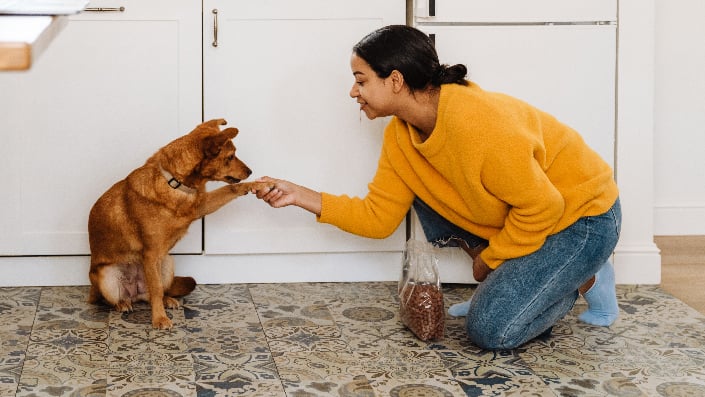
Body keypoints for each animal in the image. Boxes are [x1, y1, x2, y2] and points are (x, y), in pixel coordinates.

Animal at [85, 117, 266, 328]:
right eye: (230, 157)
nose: (250, 171)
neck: (174, 182)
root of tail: (134, 292)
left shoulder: (201, 206)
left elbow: (230, 189)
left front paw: (257, 185)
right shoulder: (151, 254)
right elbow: (155, 289)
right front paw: (159, 319)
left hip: (167, 262)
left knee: (152, 294)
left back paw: (166, 300)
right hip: (108, 276)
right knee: (115, 298)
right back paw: (122, 303)